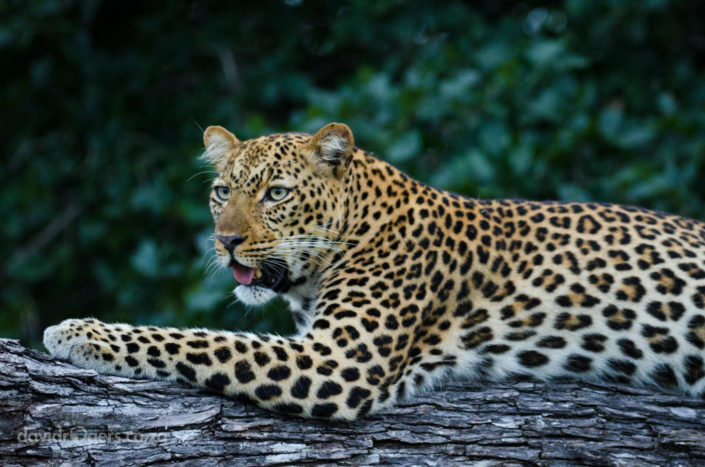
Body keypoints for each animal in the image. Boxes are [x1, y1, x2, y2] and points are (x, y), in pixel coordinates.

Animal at [44, 122, 705, 420]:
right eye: (222, 191)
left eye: (276, 193)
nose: (226, 242)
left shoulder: (337, 362)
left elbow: (200, 340)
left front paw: (79, 332)